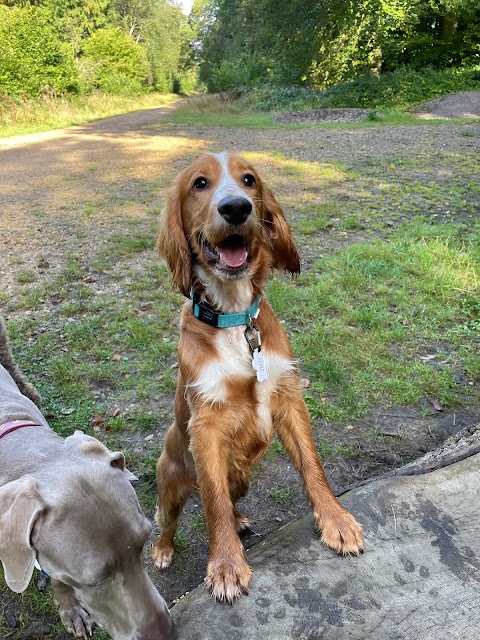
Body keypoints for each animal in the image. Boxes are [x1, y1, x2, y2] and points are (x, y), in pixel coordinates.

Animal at [153, 152, 364, 604]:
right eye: (199, 184)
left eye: (249, 180)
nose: (236, 207)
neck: (234, 319)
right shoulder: (207, 423)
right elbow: (213, 503)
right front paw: (226, 565)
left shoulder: (287, 397)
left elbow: (312, 466)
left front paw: (336, 520)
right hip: (171, 483)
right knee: (170, 520)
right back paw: (163, 549)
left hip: (242, 480)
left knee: (228, 500)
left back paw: (240, 520)